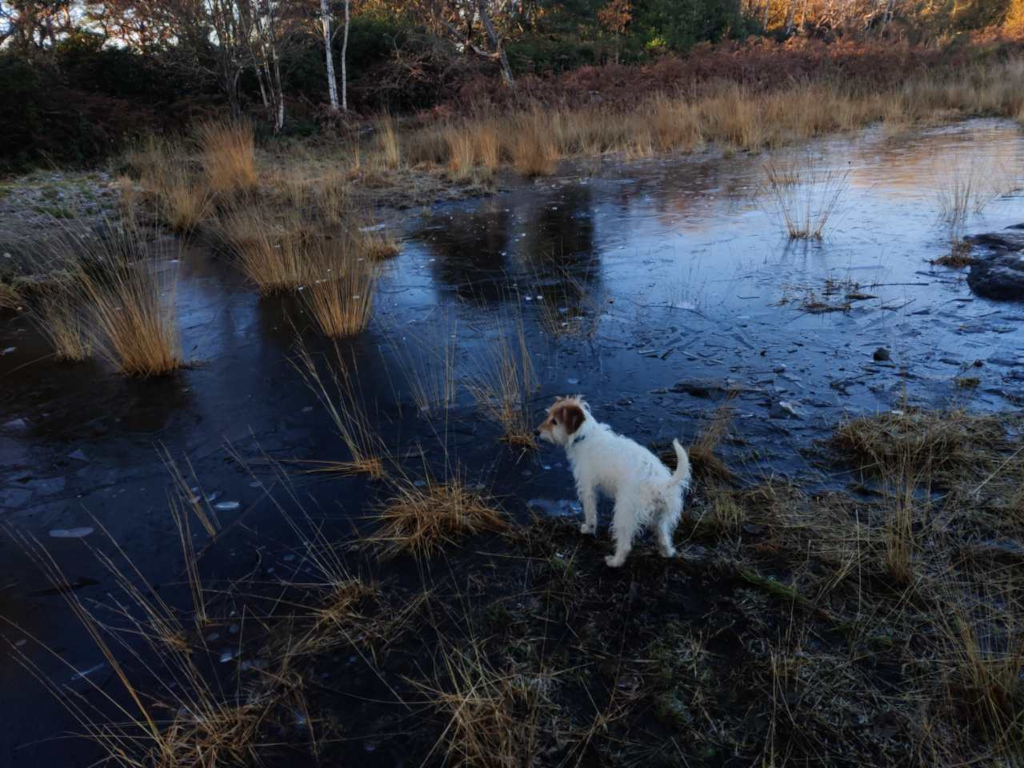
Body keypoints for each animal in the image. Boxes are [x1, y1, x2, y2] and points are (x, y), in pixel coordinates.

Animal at [532, 399, 692, 569]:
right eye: (548, 416)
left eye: (554, 422)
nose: (536, 432)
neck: (585, 436)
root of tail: (661, 483)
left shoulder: (587, 488)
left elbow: (590, 514)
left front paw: (588, 529)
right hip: (661, 519)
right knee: (664, 538)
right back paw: (666, 552)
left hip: (624, 513)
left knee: (625, 544)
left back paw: (615, 561)